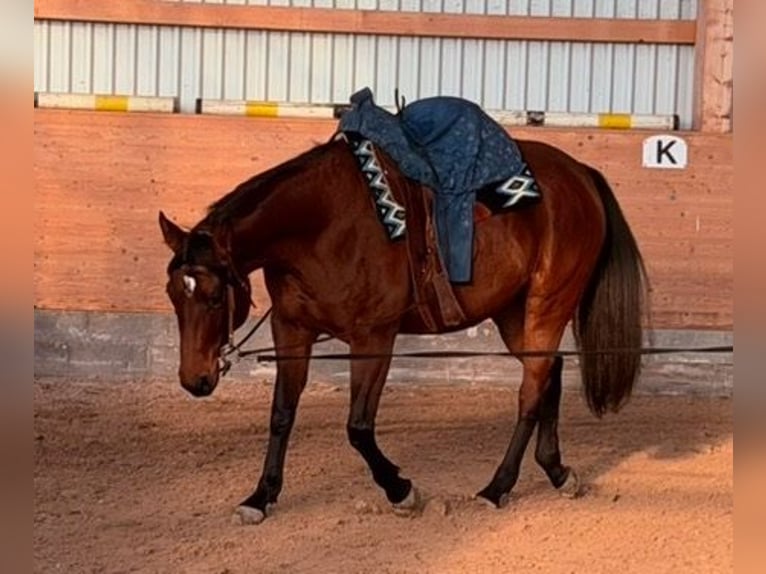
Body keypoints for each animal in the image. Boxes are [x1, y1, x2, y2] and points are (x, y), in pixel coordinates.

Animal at [159, 132, 648, 525]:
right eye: (173, 294)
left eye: (215, 297)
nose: (194, 380)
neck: (320, 225)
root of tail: (580, 173)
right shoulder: (291, 328)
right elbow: (281, 415)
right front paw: (260, 497)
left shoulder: (373, 337)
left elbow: (358, 426)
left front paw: (401, 490)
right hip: (512, 311)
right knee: (550, 372)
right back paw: (557, 471)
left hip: (548, 304)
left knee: (530, 392)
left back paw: (498, 487)